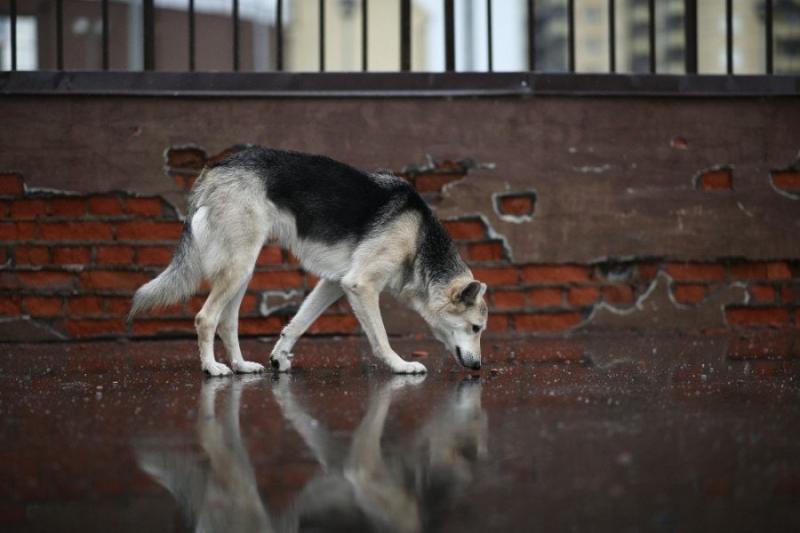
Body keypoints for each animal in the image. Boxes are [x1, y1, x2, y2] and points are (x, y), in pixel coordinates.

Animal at [130, 147, 488, 374]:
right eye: (476, 327)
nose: (479, 367)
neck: (419, 237)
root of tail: (215, 169)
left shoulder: (335, 283)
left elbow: (298, 323)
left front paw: (279, 357)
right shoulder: (360, 286)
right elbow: (380, 337)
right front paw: (400, 365)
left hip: (243, 271)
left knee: (227, 322)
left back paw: (241, 366)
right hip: (238, 267)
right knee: (205, 318)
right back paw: (212, 368)